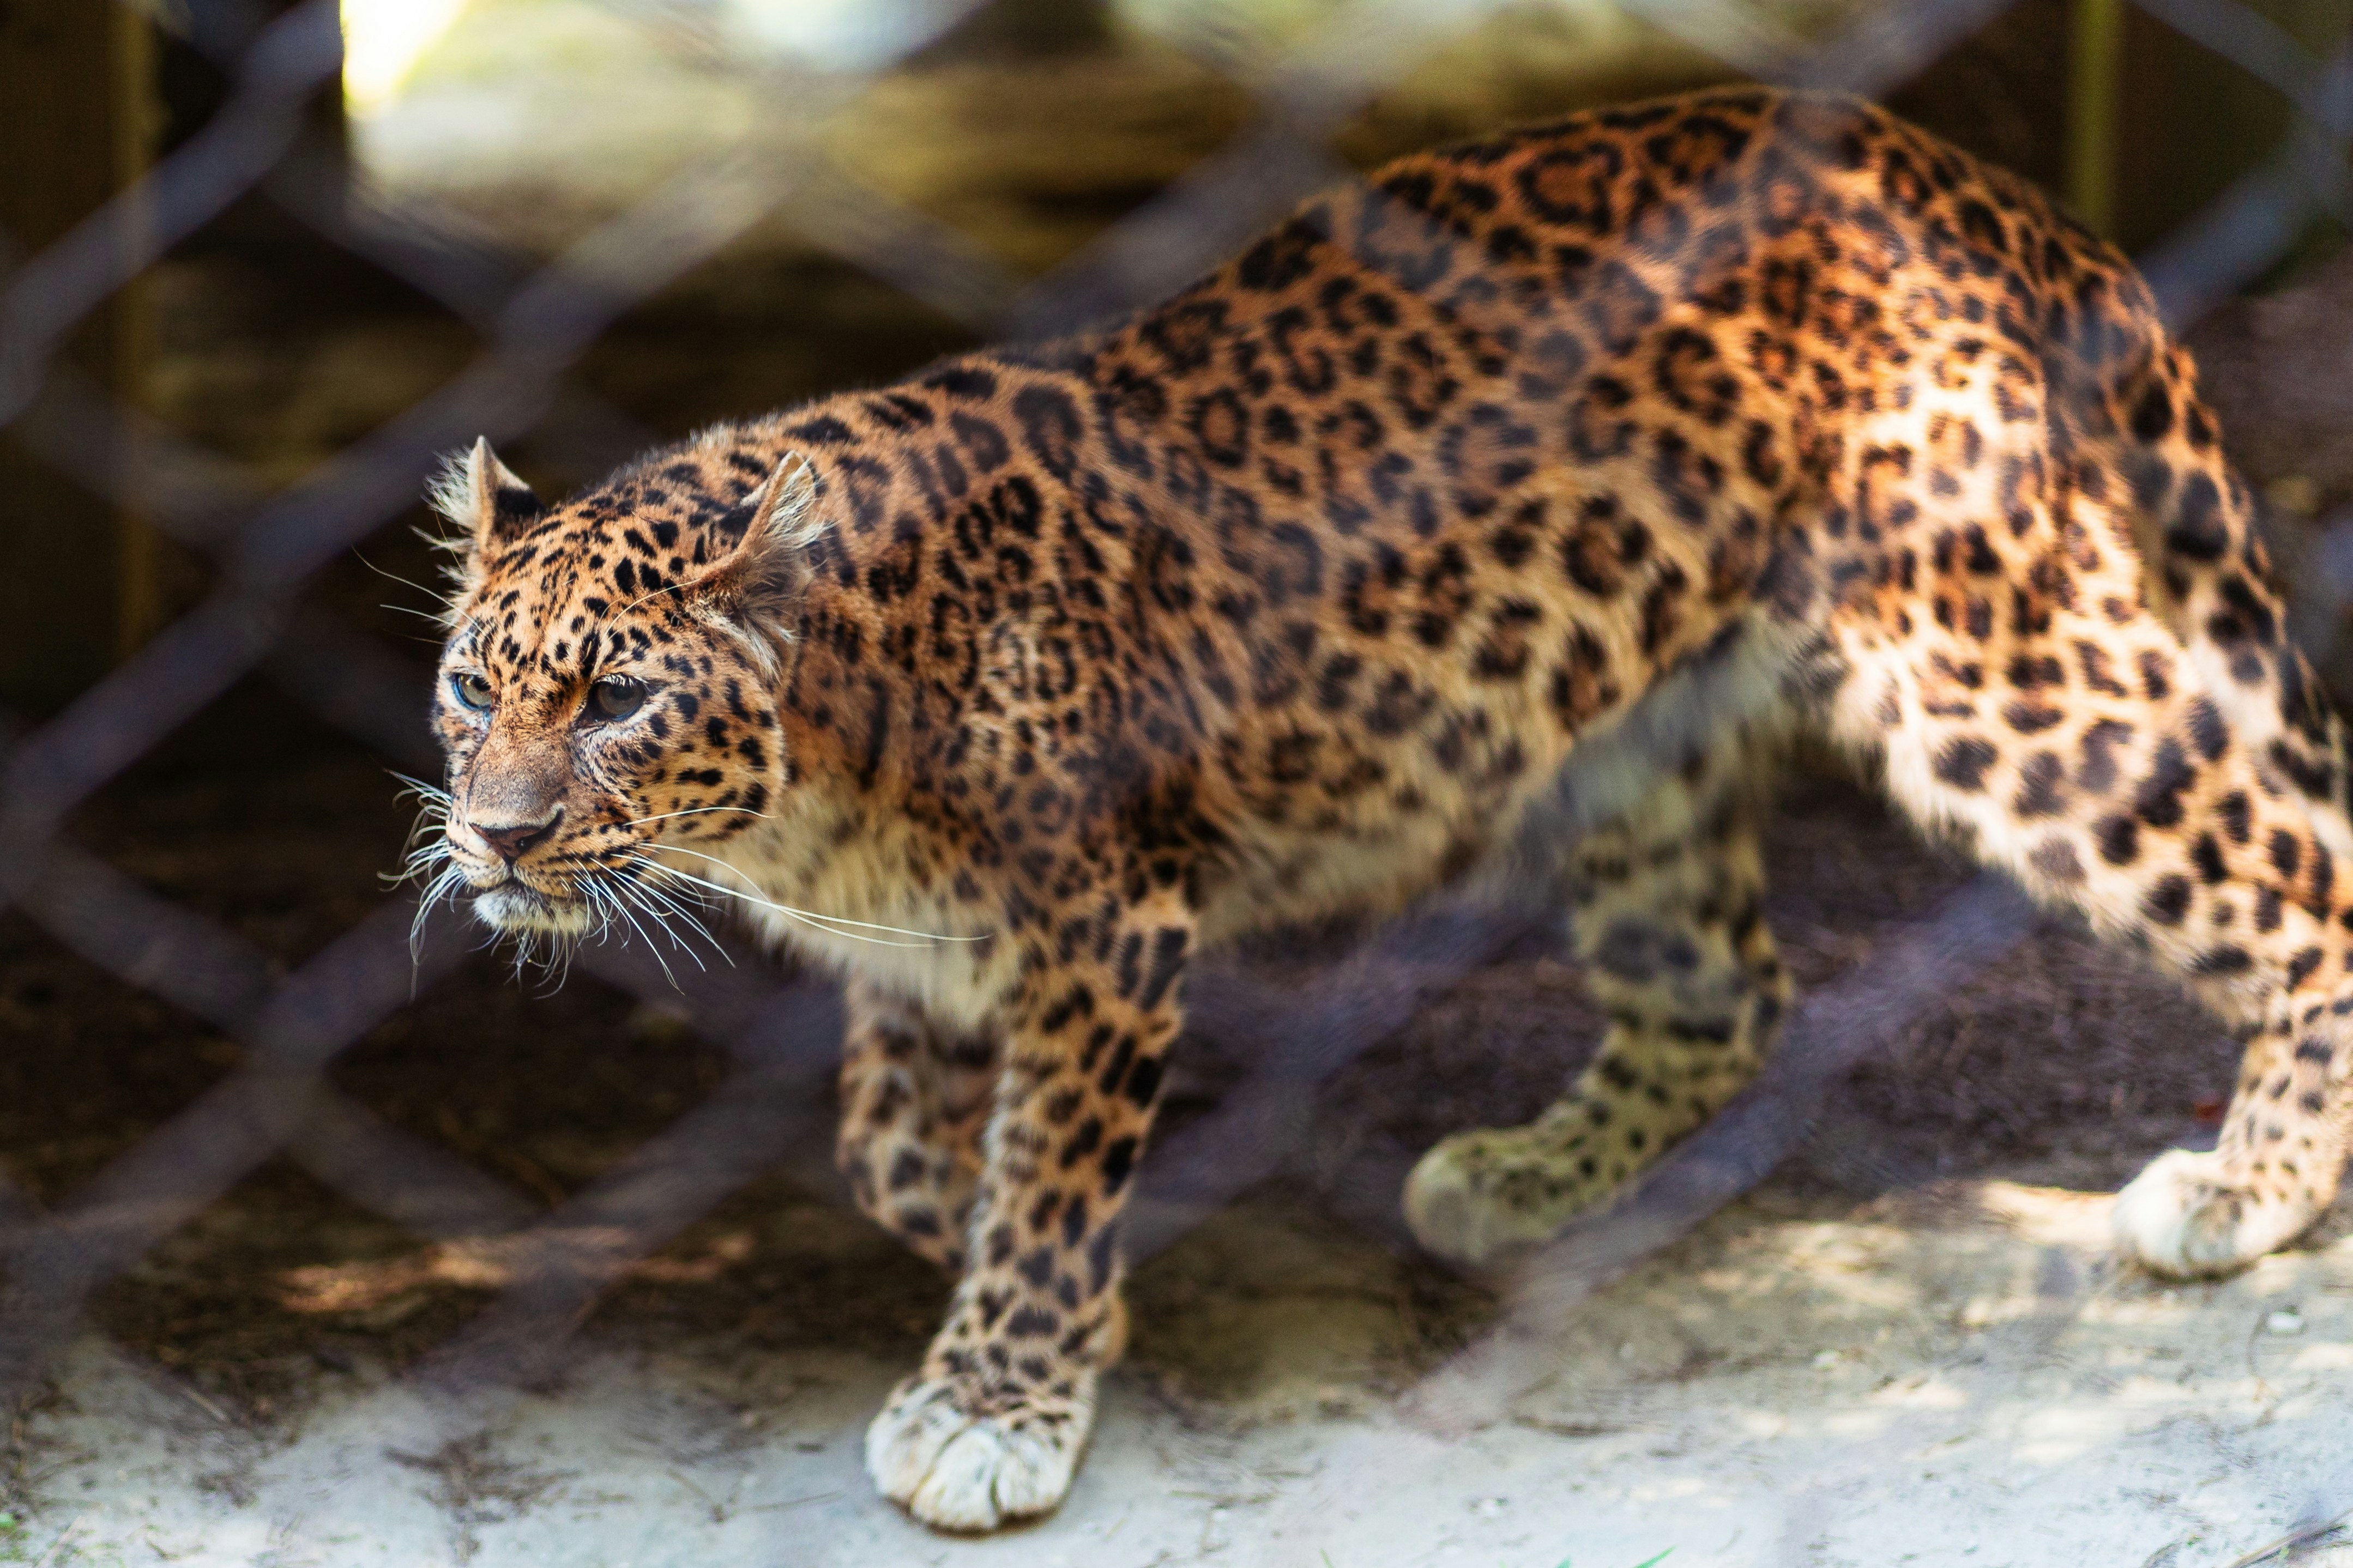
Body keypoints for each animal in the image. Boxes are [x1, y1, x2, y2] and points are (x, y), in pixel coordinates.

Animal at [418, 86, 2353, 1532]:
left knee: (2298, 873)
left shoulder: (1108, 910)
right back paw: (1515, 1177)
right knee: (1722, 985)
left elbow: (1045, 1163)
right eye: (470, 688)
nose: (493, 837)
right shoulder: (919, 943)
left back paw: (2244, 1187)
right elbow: (899, 1149)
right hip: (1634, 730)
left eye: (616, 699)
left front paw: (1001, 1397)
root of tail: (1937, 171)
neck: (810, 796)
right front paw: (1027, 1284)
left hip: (1989, 651)